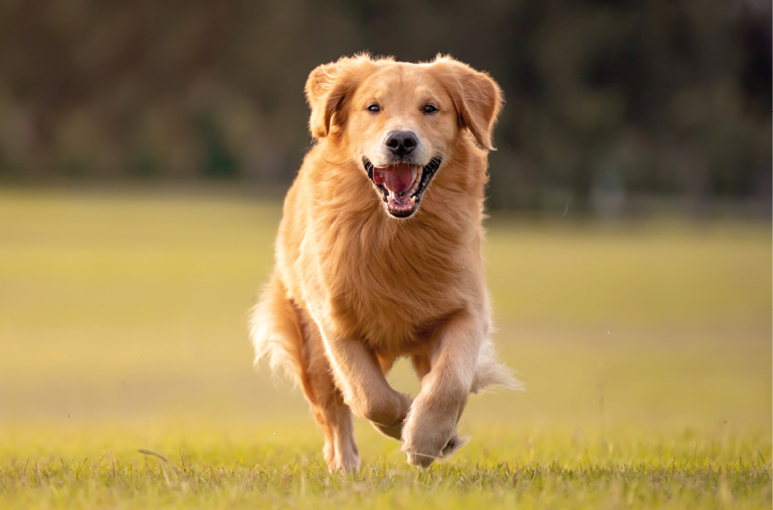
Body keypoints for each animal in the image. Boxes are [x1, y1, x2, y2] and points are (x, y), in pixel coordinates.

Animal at [252, 52, 520, 470]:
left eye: (430, 108)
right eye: (373, 107)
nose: (401, 141)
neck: (393, 234)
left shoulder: (467, 309)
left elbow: (450, 382)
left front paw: (427, 438)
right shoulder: (335, 323)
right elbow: (369, 396)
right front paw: (405, 418)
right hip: (310, 348)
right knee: (334, 416)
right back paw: (344, 467)